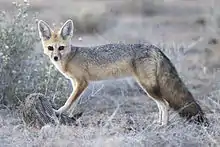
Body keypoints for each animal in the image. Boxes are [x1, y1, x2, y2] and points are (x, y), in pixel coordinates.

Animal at [37, 19, 208, 126]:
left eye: (61, 48)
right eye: (51, 48)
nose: (55, 57)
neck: (71, 57)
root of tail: (154, 47)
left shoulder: (82, 83)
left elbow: (69, 101)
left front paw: (59, 111)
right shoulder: (76, 84)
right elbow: (74, 102)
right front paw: (69, 117)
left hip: (147, 87)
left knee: (164, 104)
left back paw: (163, 125)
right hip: (149, 87)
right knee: (161, 104)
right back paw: (159, 123)